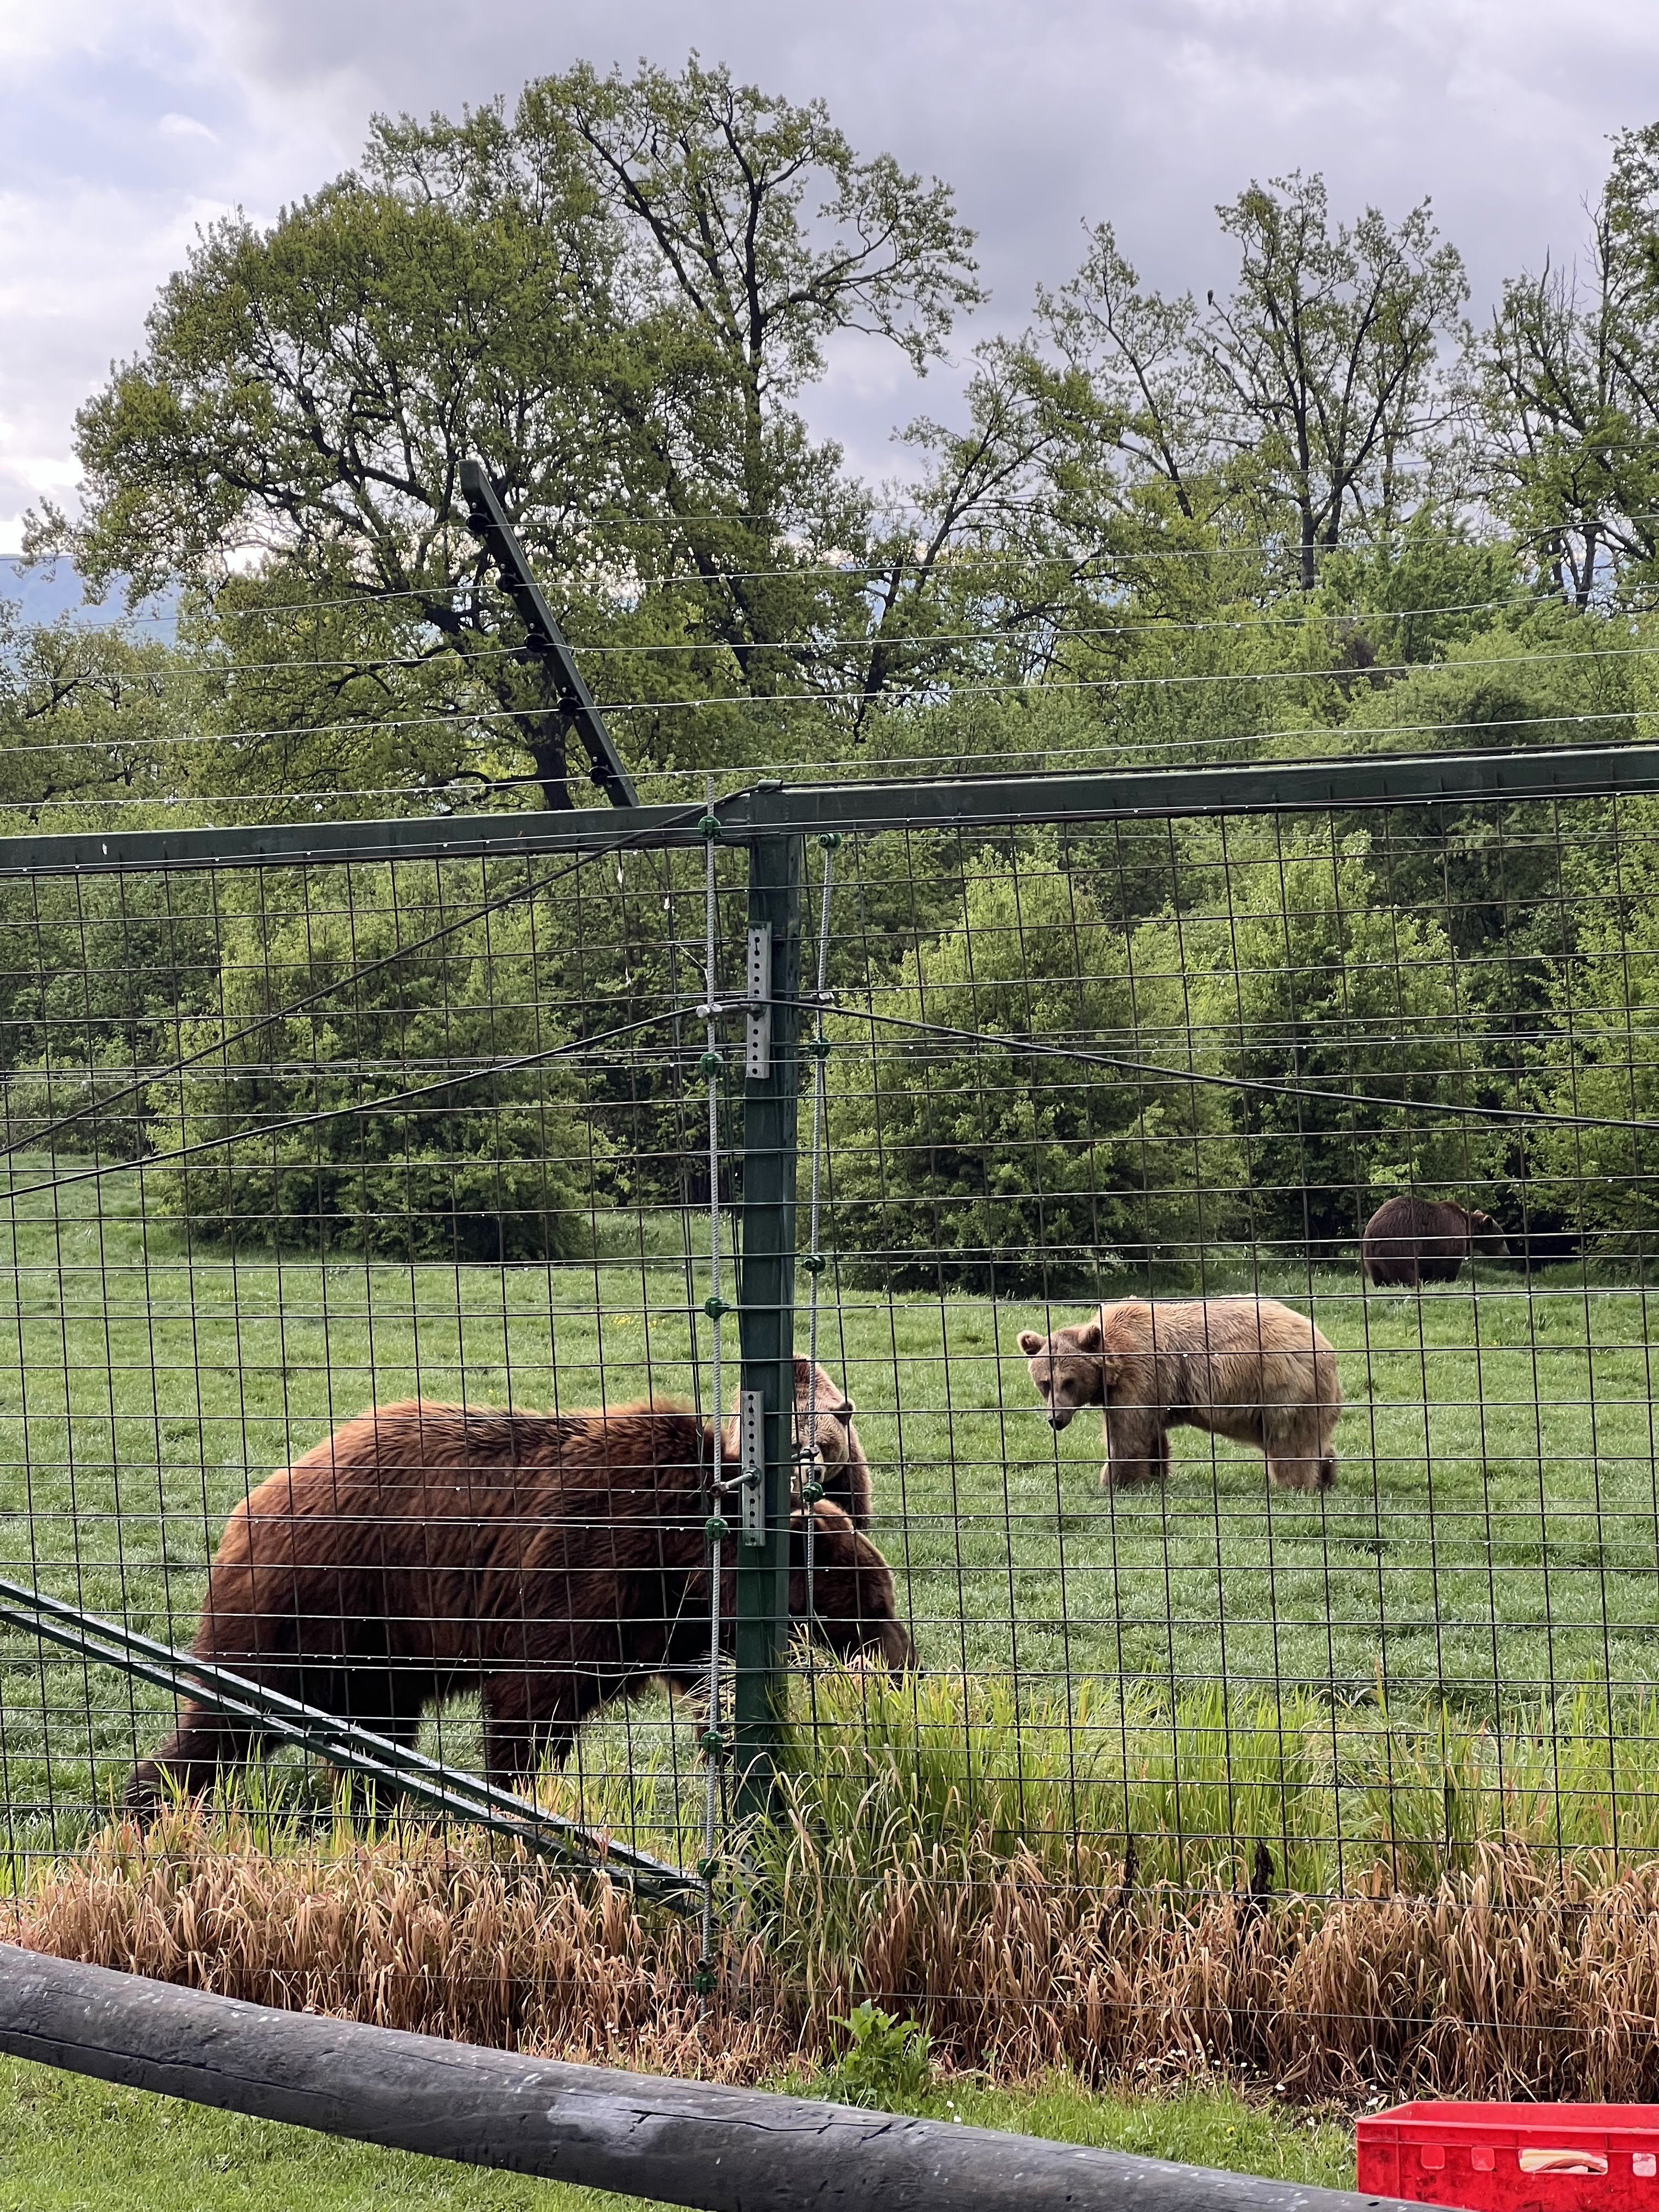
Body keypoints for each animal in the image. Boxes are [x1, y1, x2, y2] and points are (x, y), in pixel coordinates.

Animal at [124, 1397, 914, 1813]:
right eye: (868, 1608)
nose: (906, 1668)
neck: (686, 1559)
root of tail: (255, 1499)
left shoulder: (674, 1629)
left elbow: (708, 1692)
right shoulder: (585, 1579)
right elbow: (527, 1710)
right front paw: (517, 1802)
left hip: (377, 1653)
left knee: (370, 1737)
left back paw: (376, 1811)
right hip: (317, 1604)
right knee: (225, 1717)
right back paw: (152, 1804)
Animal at [1017, 1297, 1341, 1492]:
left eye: (1069, 1382)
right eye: (1045, 1383)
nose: (1055, 1419)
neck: (1112, 1369)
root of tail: (1322, 1341)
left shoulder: (1138, 1376)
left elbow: (1126, 1436)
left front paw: (1113, 1481)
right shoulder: (1149, 1390)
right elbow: (1150, 1436)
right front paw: (1153, 1474)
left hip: (1280, 1385)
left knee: (1289, 1444)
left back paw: (1294, 1485)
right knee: (1314, 1438)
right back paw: (1326, 1476)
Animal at [1361, 1195, 1509, 1288]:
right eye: (1501, 1238)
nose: (1507, 1253)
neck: (1467, 1227)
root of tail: (1373, 1231)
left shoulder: (1430, 1251)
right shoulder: (1450, 1237)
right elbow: (1448, 1265)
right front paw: (1446, 1280)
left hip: (1372, 1257)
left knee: (1378, 1274)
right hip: (1399, 1244)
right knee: (1404, 1270)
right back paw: (1412, 1283)